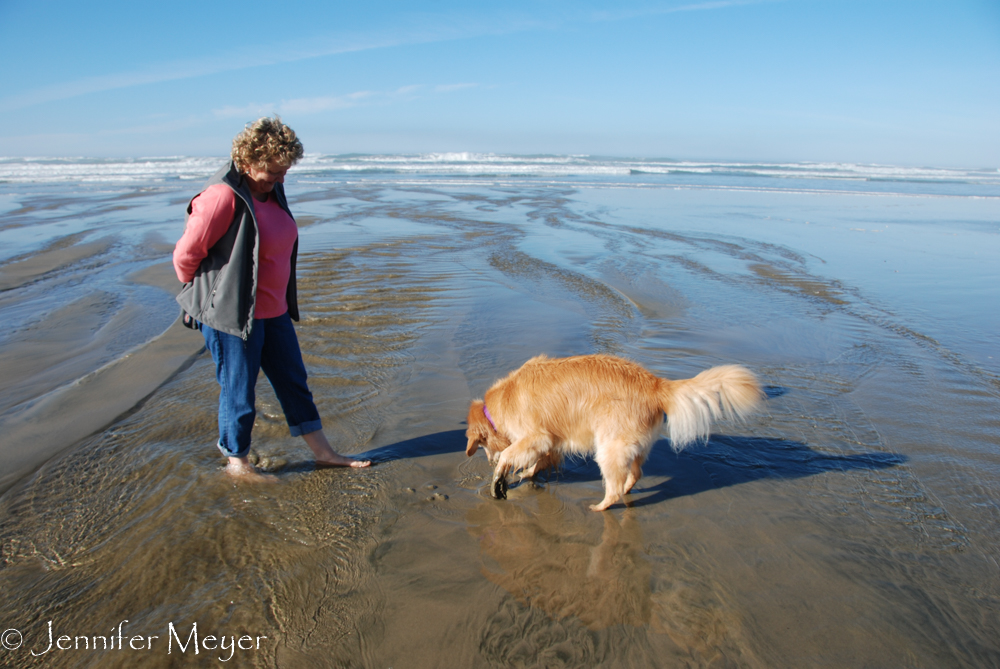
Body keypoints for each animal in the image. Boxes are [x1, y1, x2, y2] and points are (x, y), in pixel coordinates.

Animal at [464, 354, 760, 512]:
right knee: (635, 473)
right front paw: (525, 474)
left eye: (482, 446)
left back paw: (600, 506)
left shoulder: (537, 436)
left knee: (614, 488)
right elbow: (541, 461)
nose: (486, 460)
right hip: (633, 446)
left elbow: (511, 455)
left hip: (608, 447)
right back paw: (627, 490)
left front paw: (500, 476)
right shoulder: (552, 440)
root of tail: (656, 384)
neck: (501, 403)